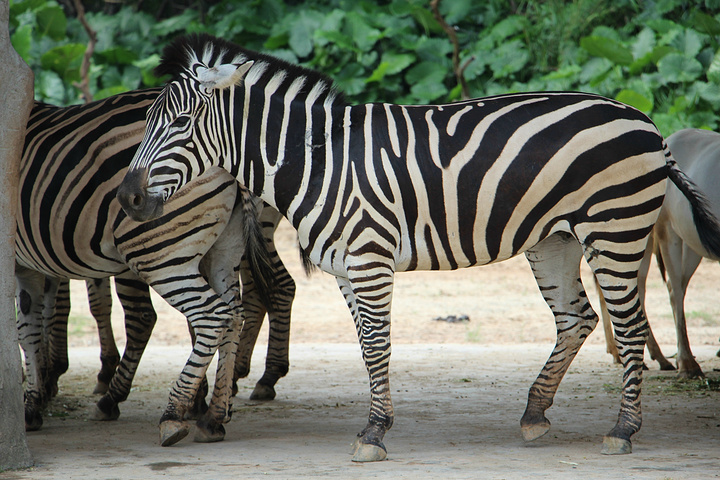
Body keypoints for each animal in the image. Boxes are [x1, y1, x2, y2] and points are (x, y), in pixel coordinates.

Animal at [16, 90, 294, 442]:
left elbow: (34, 324)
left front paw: (34, 399)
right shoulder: (36, 264)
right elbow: (37, 320)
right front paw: (40, 388)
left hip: (153, 252)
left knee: (188, 315)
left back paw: (161, 410)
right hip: (224, 249)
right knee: (236, 311)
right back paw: (215, 410)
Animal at [114, 33, 720, 462]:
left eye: (182, 122)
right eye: (148, 121)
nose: (127, 198)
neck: (319, 161)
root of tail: (645, 121)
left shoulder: (369, 258)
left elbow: (379, 344)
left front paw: (374, 433)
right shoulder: (345, 268)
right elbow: (367, 347)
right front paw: (376, 423)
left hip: (615, 230)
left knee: (630, 325)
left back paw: (622, 430)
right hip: (556, 240)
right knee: (578, 319)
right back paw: (534, 413)